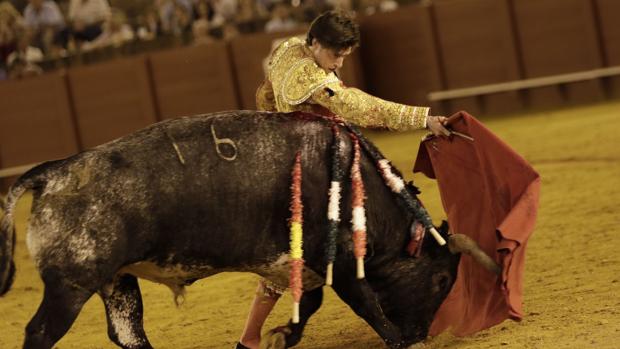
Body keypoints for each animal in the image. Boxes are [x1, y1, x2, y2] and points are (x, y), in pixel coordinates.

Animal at [0, 111, 502, 348]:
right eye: (441, 279)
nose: (422, 333)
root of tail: (54, 172)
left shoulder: (301, 264)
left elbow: (309, 303)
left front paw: (280, 337)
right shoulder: (338, 260)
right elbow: (365, 305)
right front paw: (396, 340)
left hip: (115, 281)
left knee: (128, 333)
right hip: (71, 284)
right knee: (40, 333)